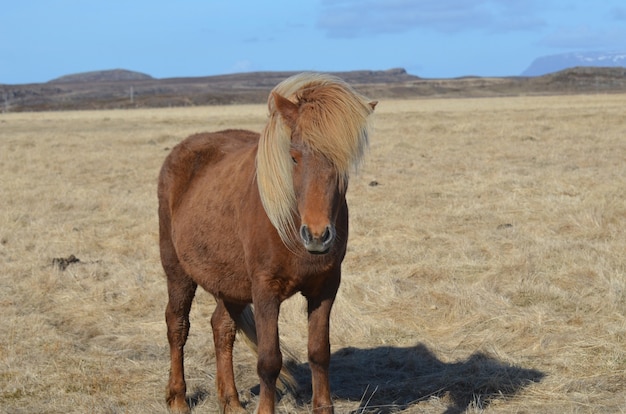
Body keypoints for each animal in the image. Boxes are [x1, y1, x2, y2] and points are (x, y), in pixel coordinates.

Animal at [158, 73, 378, 412]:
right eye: (294, 157)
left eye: (343, 162)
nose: (317, 235)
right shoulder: (265, 291)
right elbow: (269, 361)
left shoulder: (326, 288)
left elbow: (319, 352)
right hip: (177, 271)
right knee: (177, 325)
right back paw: (179, 399)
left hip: (230, 281)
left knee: (222, 328)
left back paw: (232, 402)